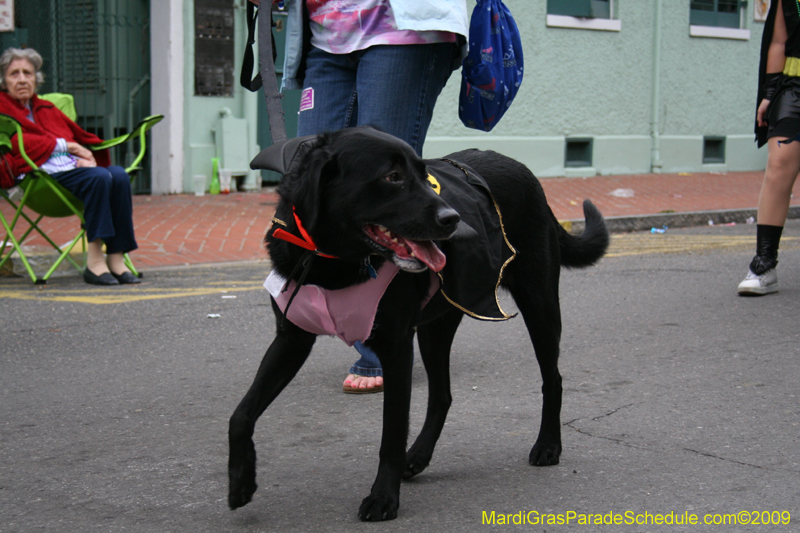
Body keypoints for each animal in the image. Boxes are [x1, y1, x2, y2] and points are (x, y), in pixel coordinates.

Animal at [228, 128, 608, 520]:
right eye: (392, 176)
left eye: (424, 175)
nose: (453, 220)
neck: (331, 260)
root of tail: (522, 168)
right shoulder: (291, 340)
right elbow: (240, 414)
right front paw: (241, 480)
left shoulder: (396, 347)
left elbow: (391, 433)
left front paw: (383, 497)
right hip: (435, 328)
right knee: (442, 395)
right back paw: (419, 456)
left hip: (539, 303)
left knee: (553, 378)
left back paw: (548, 445)